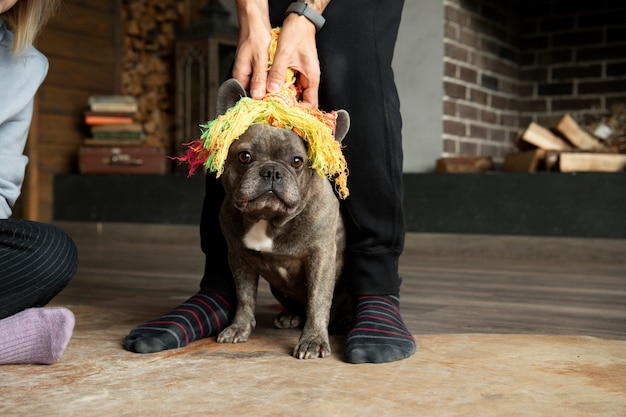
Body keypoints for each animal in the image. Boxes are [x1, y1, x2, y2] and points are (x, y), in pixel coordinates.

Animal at [214, 79, 352, 360]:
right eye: (245, 157)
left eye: (297, 161)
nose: (272, 171)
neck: (268, 219)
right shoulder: (238, 256)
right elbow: (245, 296)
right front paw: (239, 327)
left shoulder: (321, 256)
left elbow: (318, 300)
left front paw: (312, 341)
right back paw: (290, 316)